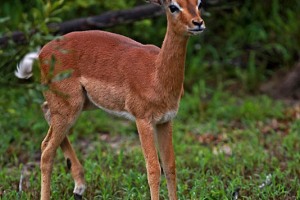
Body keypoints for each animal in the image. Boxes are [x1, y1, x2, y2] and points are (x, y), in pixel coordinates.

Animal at [15, 0, 205, 199]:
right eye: (173, 6)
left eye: (198, 3)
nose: (198, 23)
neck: (156, 73)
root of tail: (41, 54)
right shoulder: (143, 120)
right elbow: (153, 169)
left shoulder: (165, 121)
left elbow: (170, 166)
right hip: (69, 108)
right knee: (46, 150)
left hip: (79, 104)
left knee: (45, 111)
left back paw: (79, 187)